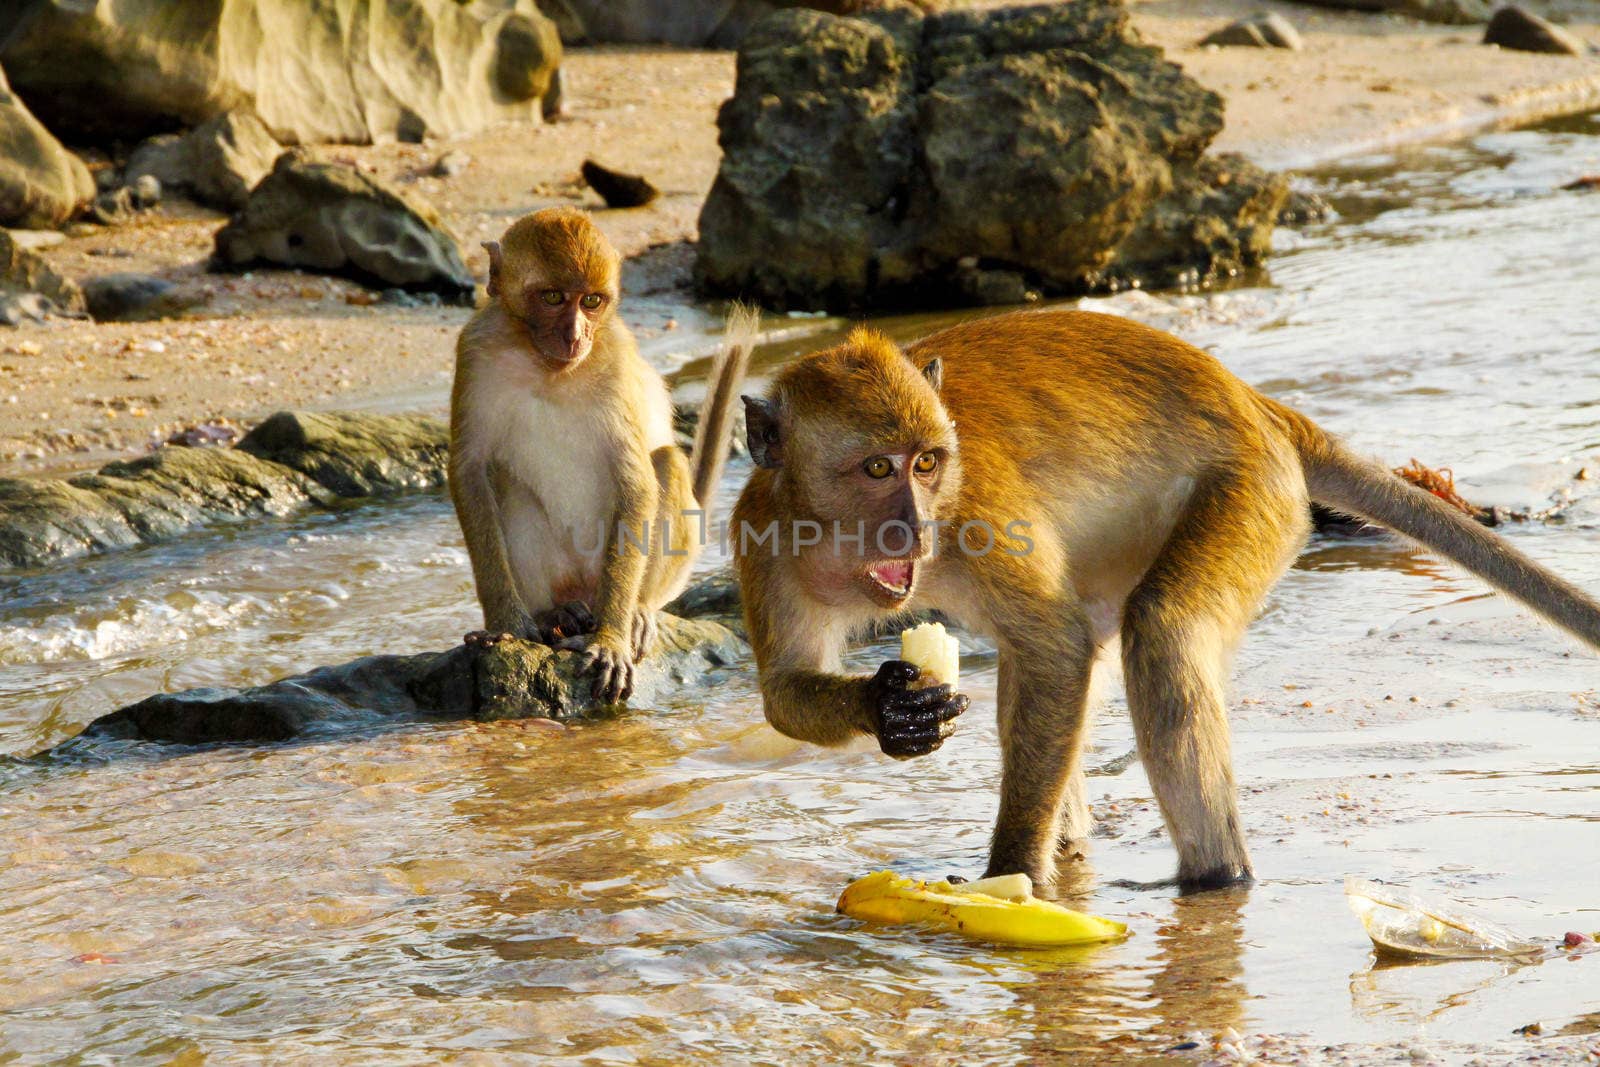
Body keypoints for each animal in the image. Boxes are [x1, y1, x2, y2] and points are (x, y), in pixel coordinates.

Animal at [444, 211, 755, 703]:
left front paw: (610, 639)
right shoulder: (475, 350)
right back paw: (556, 614)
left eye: (591, 301)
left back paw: (635, 612)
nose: (575, 336)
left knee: (666, 463)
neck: (548, 368)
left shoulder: (616, 362)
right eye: (553, 297)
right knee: (503, 479)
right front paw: (504, 624)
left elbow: (635, 482)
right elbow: (471, 469)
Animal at [732, 308, 1600, 895]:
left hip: (1252, 491)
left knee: (1157, 630)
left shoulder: (977, 512)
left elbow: (1057, 646)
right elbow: (782, 693)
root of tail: (1256, 402)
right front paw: (891, 707)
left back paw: (1214, 878)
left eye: (927, 462)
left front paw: (1010, 874)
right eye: (877, 468)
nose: (914, 527)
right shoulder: (762, 538)